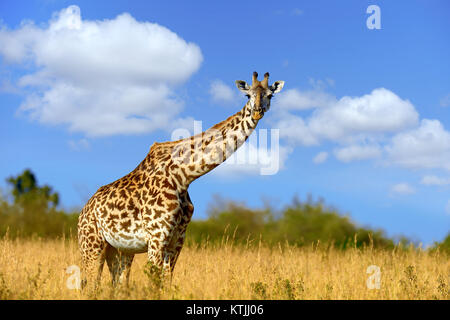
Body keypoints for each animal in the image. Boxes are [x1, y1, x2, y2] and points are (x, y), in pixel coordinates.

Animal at [77, 72, 284, 288]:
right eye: (247, 95)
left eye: (270, 95)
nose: (257, 112)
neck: (183, 176)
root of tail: (83, 211)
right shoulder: (156, 236)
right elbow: (153, 282)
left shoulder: (177, 239)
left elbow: (165, 283)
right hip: (91, 245)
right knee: (90, 285)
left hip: (120, 250)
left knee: (117, 285)